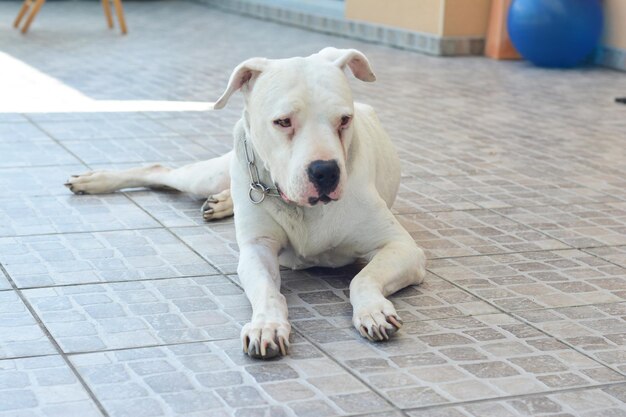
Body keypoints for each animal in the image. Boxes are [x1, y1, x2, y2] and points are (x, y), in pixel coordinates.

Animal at [66, 48, 426, 358]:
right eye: (283, 121)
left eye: (344, 120)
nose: (326, 171)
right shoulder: (256, 250)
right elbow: (267, 290)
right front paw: (266, 325)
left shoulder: (402, 248)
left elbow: (362, 277)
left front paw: (373, 310)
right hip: (207, 175)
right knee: (159, 171)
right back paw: (96, 181)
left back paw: (223, 202)